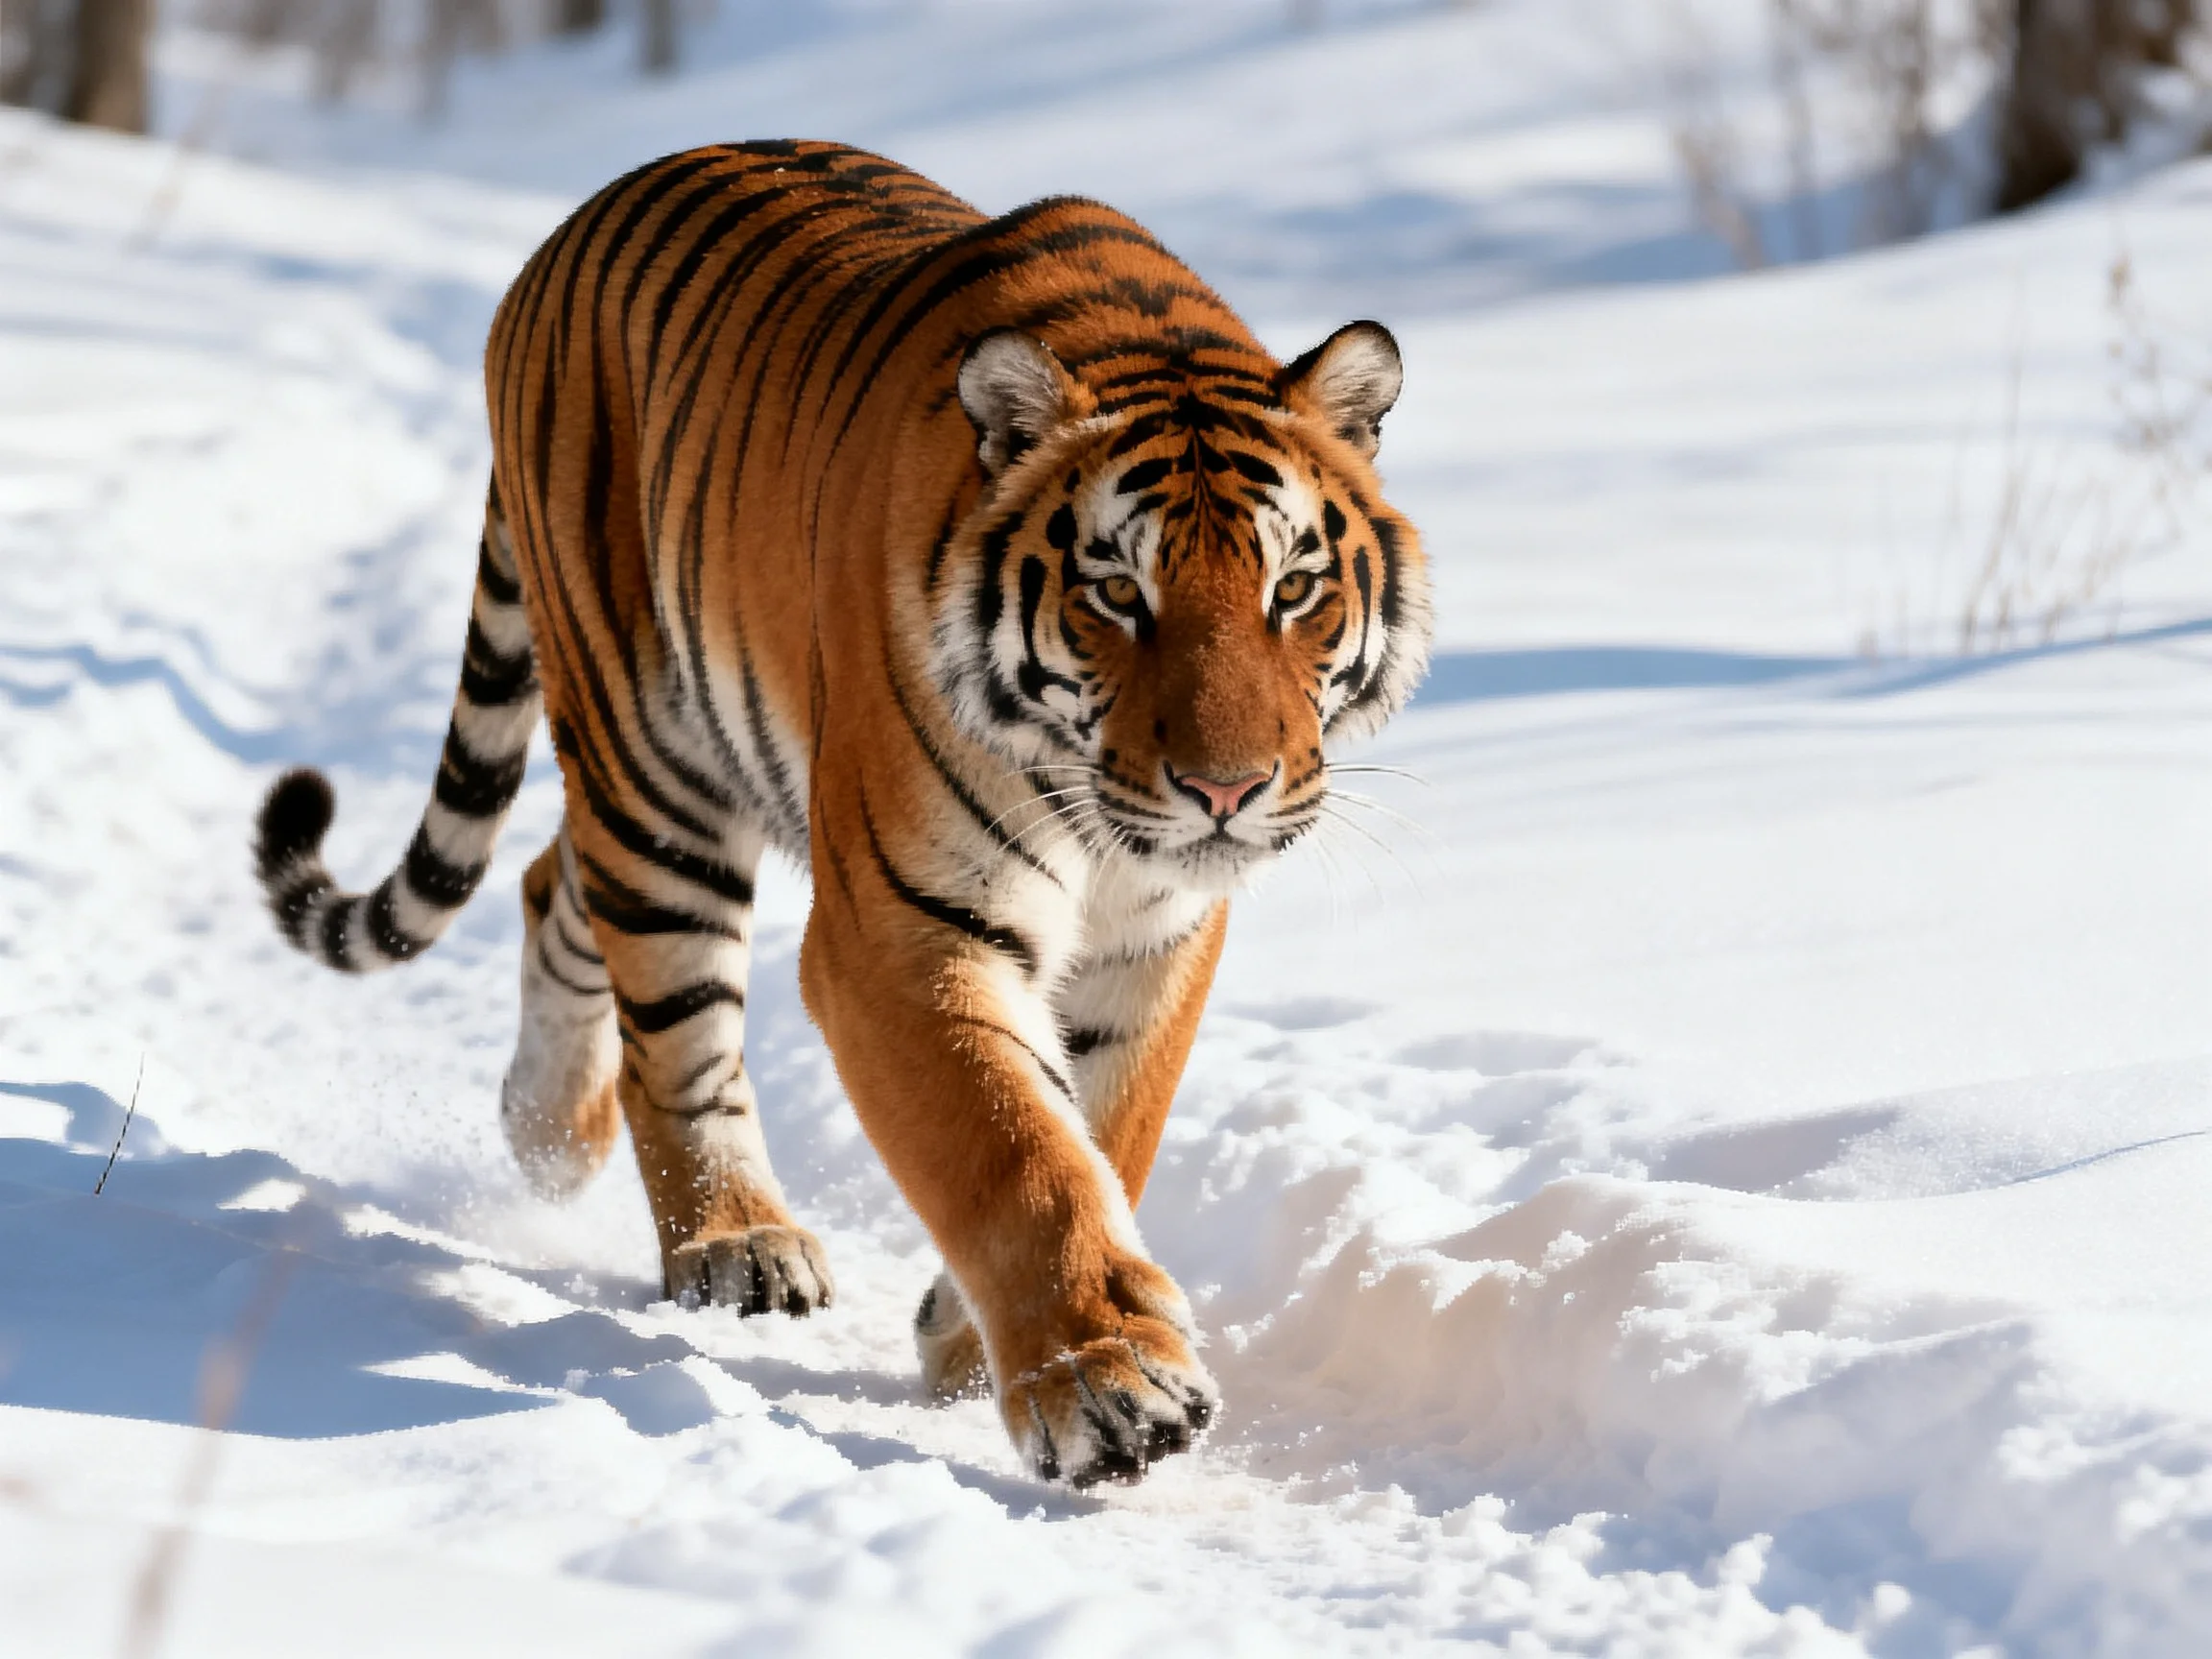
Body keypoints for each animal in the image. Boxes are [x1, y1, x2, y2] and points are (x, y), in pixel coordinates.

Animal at [252, 141, 1430, 1488]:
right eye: (1116, 593)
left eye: (1294, 588)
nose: (1226, 792)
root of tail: (569, 228)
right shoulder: (902, 929)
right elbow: (1012, 1150)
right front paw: (1105, 1386)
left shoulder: (1160, 931)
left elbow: (1105, 1124)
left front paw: (972, 1339)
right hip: (652, 759)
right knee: (670, 1018)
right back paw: (732, 1242)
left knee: (557, 884)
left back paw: (549, 1135)